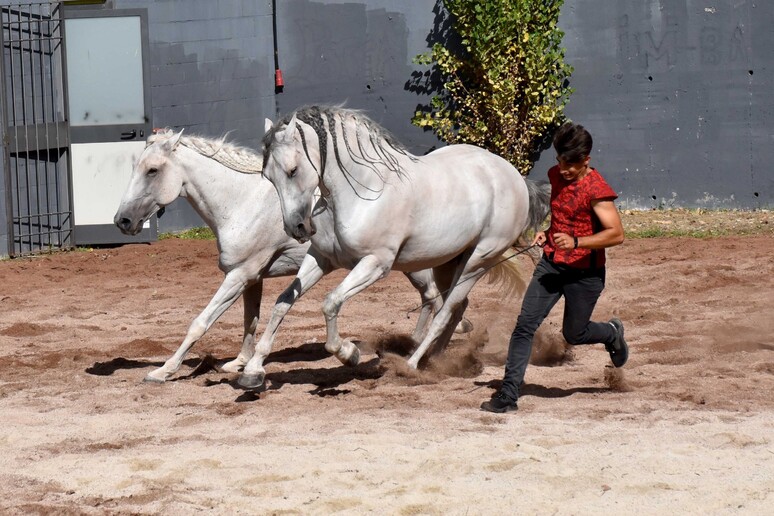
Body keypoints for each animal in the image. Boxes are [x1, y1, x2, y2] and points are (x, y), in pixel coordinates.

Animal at [114, 129, 454, 382]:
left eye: (152, 170)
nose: (122, 221)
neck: (242, 201)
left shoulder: (238, 276)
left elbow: (200, 322)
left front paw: (163, 371)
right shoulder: (252, 278)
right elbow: (250, 320)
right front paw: (240, 364)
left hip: (412, 264)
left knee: (432, 297)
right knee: (434, 297)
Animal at [238, 107, 552, 390]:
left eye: (293, 170)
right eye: (268, 176)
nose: (298, 228)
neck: (362, 192)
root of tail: (515, 177)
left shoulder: (375, 263)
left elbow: (331, 302)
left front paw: (349, 353)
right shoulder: (322, 259)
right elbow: (282, 302)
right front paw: (252, 372)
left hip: (479, 261)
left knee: (445, 312)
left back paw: (412, 365)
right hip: (449, 262)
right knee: (455, 308)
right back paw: (435, 360)